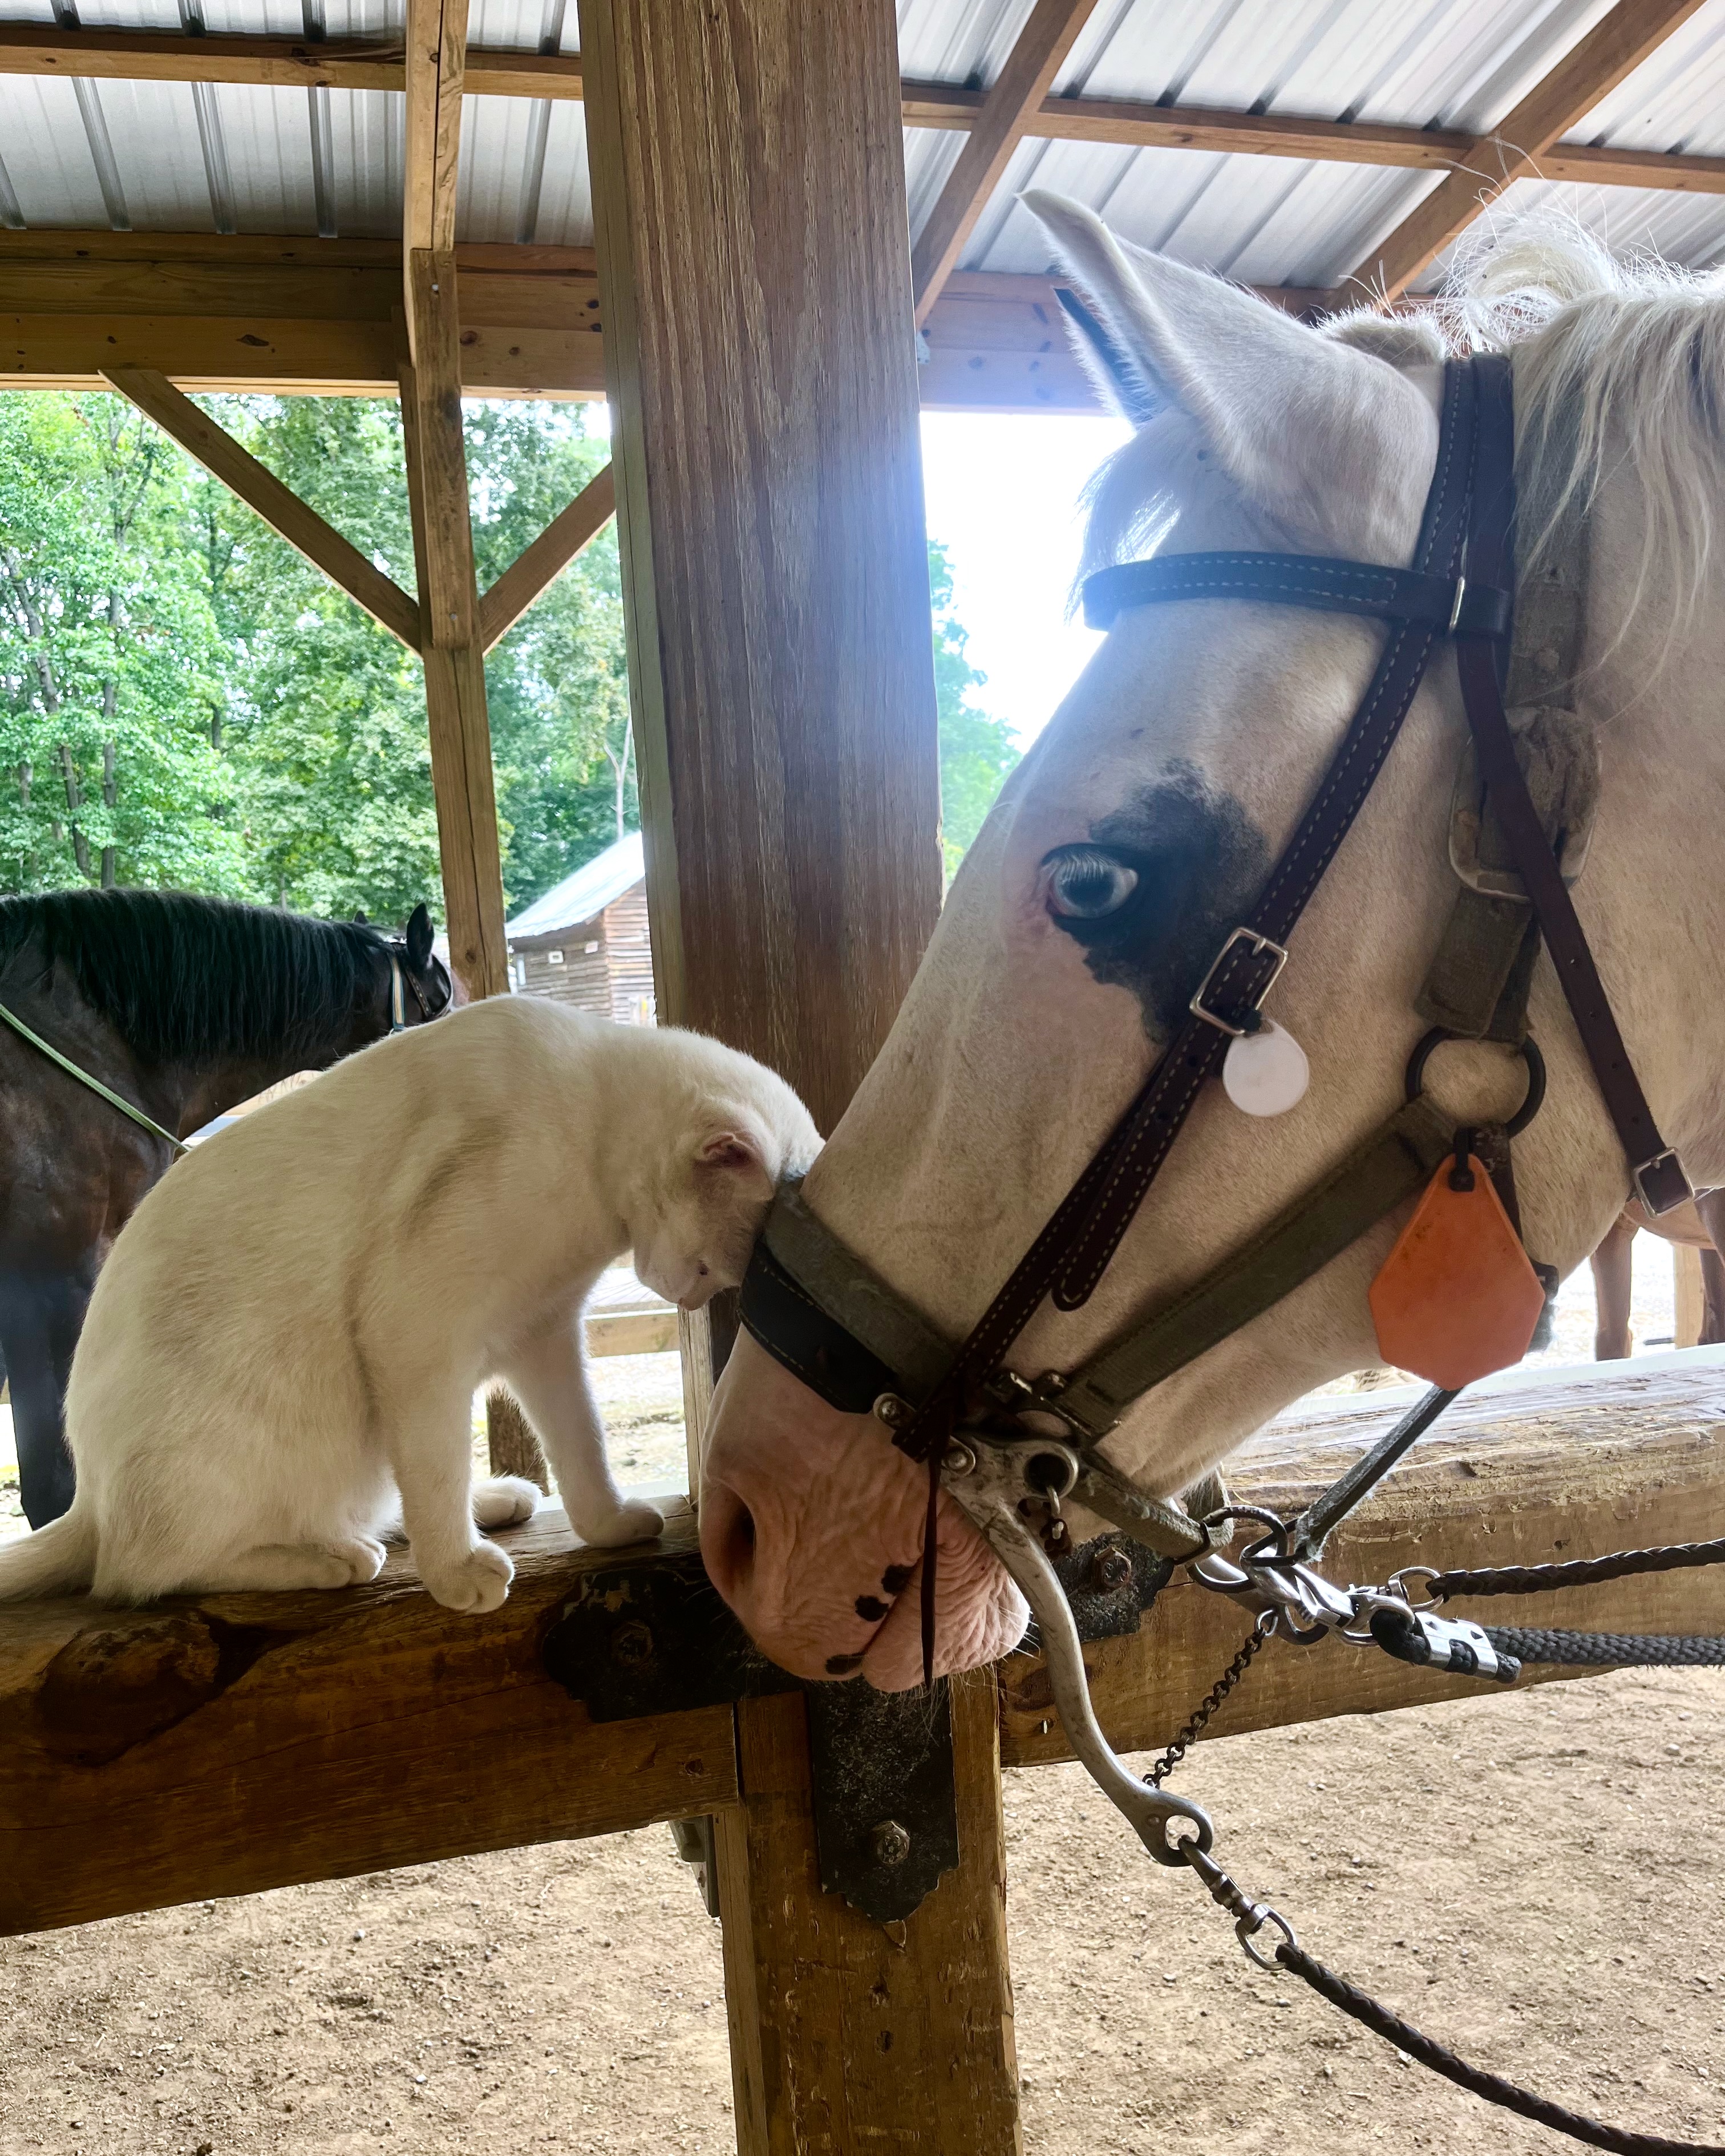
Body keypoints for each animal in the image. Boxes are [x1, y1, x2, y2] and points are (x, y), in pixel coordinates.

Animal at [0, 1000, 819, 1612]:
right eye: (713, 1271)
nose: (685, 1295)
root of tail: (90, 1501)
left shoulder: (543, 1333)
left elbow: (579, 1443)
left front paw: (609, 1525)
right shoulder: (420, 1336)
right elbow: (438, 1468)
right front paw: (456, 1573)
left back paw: (494, 1501)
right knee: (140, 1574)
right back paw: (334, 1557)